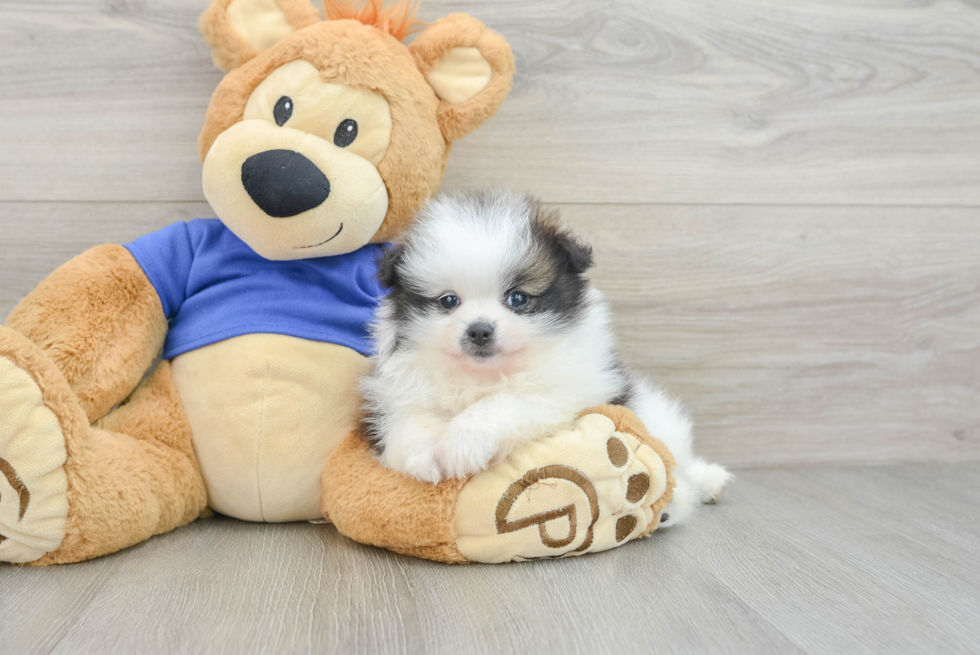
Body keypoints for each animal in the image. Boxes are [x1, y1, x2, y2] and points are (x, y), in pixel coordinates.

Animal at [364, 190, 732, 528]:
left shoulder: (565, 391)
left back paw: (690, 493)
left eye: (517, 298)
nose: (479, 330)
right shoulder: (398, 388)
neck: (485, 375)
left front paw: (462, 444)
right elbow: (409, 417)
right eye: (448, 301)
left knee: (678, 466)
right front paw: (422, 454)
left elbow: (504, 403)